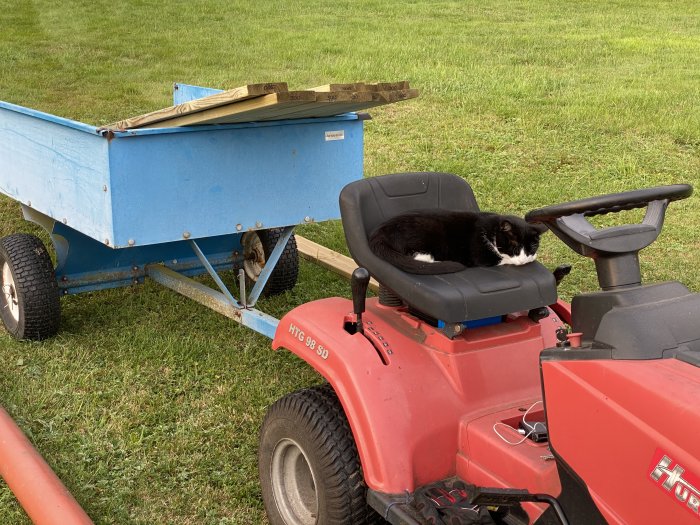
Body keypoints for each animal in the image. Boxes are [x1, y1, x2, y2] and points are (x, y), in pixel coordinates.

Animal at [370, 209, 544, 274]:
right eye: (514, 247)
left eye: (532, 247)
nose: (523, 260)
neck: (492, 231)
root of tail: (379, 232)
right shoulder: (482, 257)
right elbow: (503, 260)